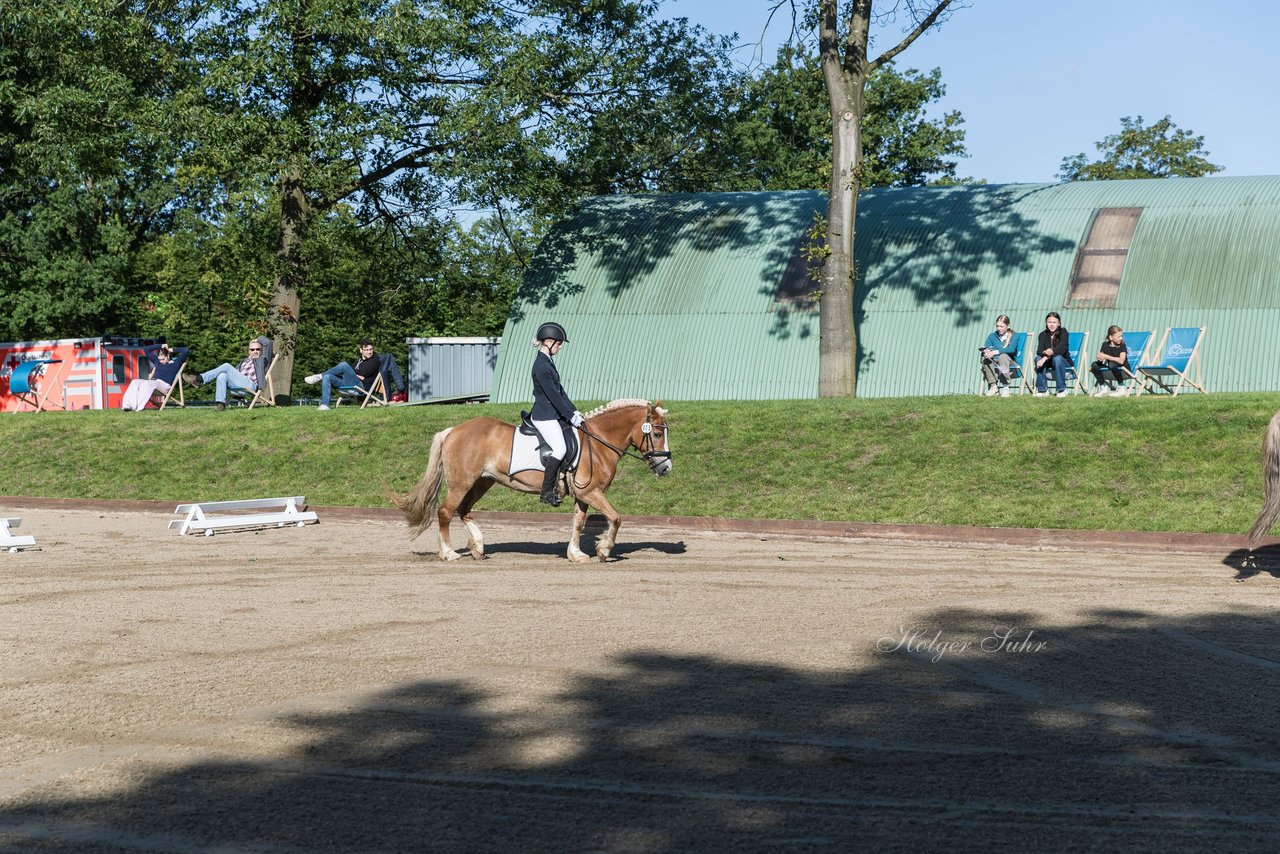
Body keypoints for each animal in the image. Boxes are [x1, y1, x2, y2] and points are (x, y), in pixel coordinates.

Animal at [391, 399, 670, 560]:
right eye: (657, 433)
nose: (666, 467)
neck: (599, 441)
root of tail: (453, 430)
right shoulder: (591, 492)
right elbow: (616, 518)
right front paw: (604, 550)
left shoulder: (583, 495)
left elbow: (578, 523)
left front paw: (576, 553)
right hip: (461, 484)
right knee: (445, 512)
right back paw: (448, 554)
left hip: (482, 482)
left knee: (464, 510)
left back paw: (478, 547)